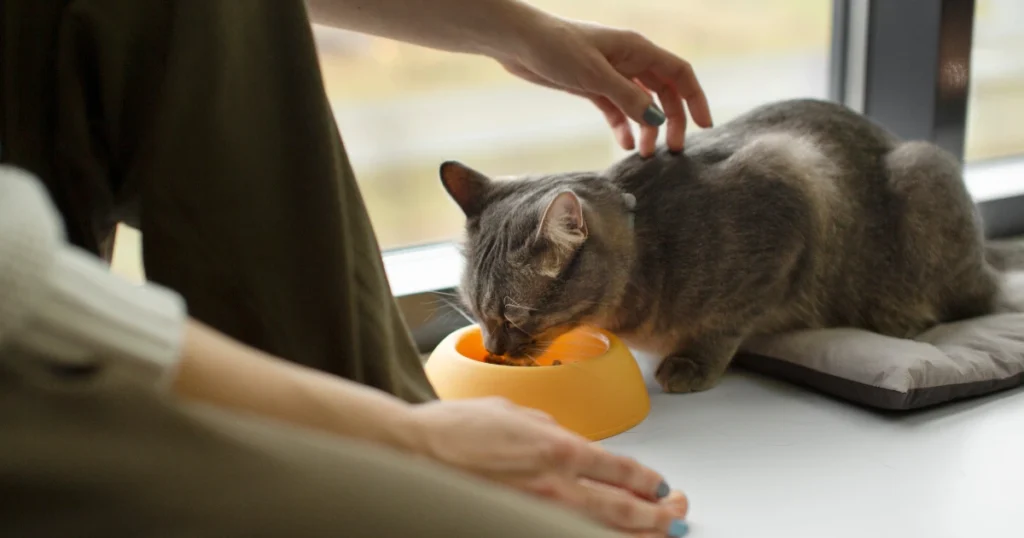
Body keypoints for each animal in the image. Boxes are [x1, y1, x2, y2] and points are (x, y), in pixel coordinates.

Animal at [438, 98, 1015, 391]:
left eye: (514, 317)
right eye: (475, 313)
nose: (493, 349)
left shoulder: (790, 191)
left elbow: (727, 321)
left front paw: (691, 363)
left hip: (923, 173)